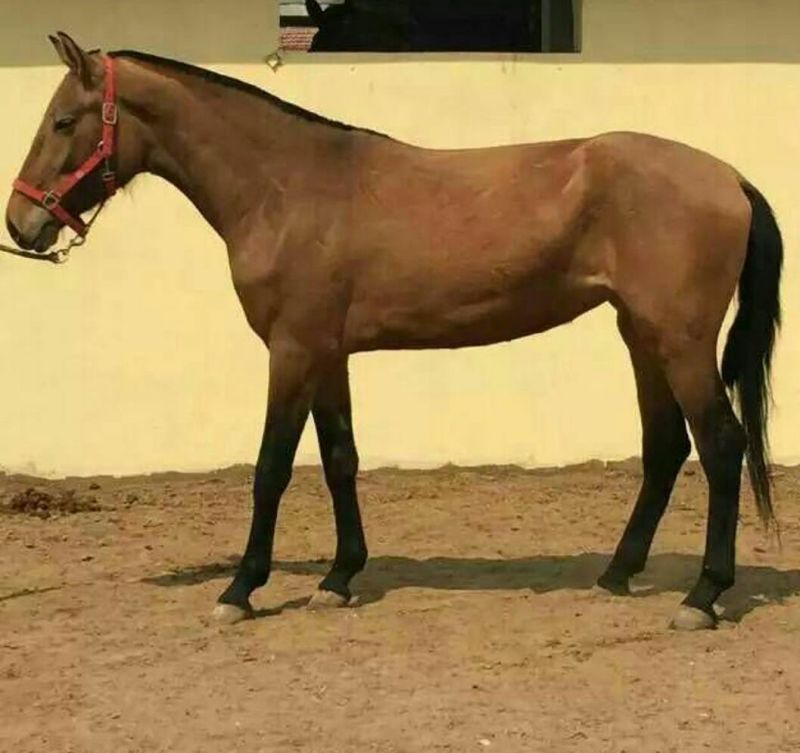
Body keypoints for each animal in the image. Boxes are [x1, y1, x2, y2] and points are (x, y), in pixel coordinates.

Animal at [5, 32, 782, 631]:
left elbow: (271, 467)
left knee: (721, 445)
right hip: (641, 335)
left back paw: (703, 596)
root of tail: (729, 178)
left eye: (65, 121)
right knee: (666, 447)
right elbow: (340, 458)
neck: (287, 189)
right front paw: (338, 579)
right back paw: (617, 573)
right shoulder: (327, 354)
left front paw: (240, 589)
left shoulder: (292, 351)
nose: (22, 223)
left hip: (680, 342)